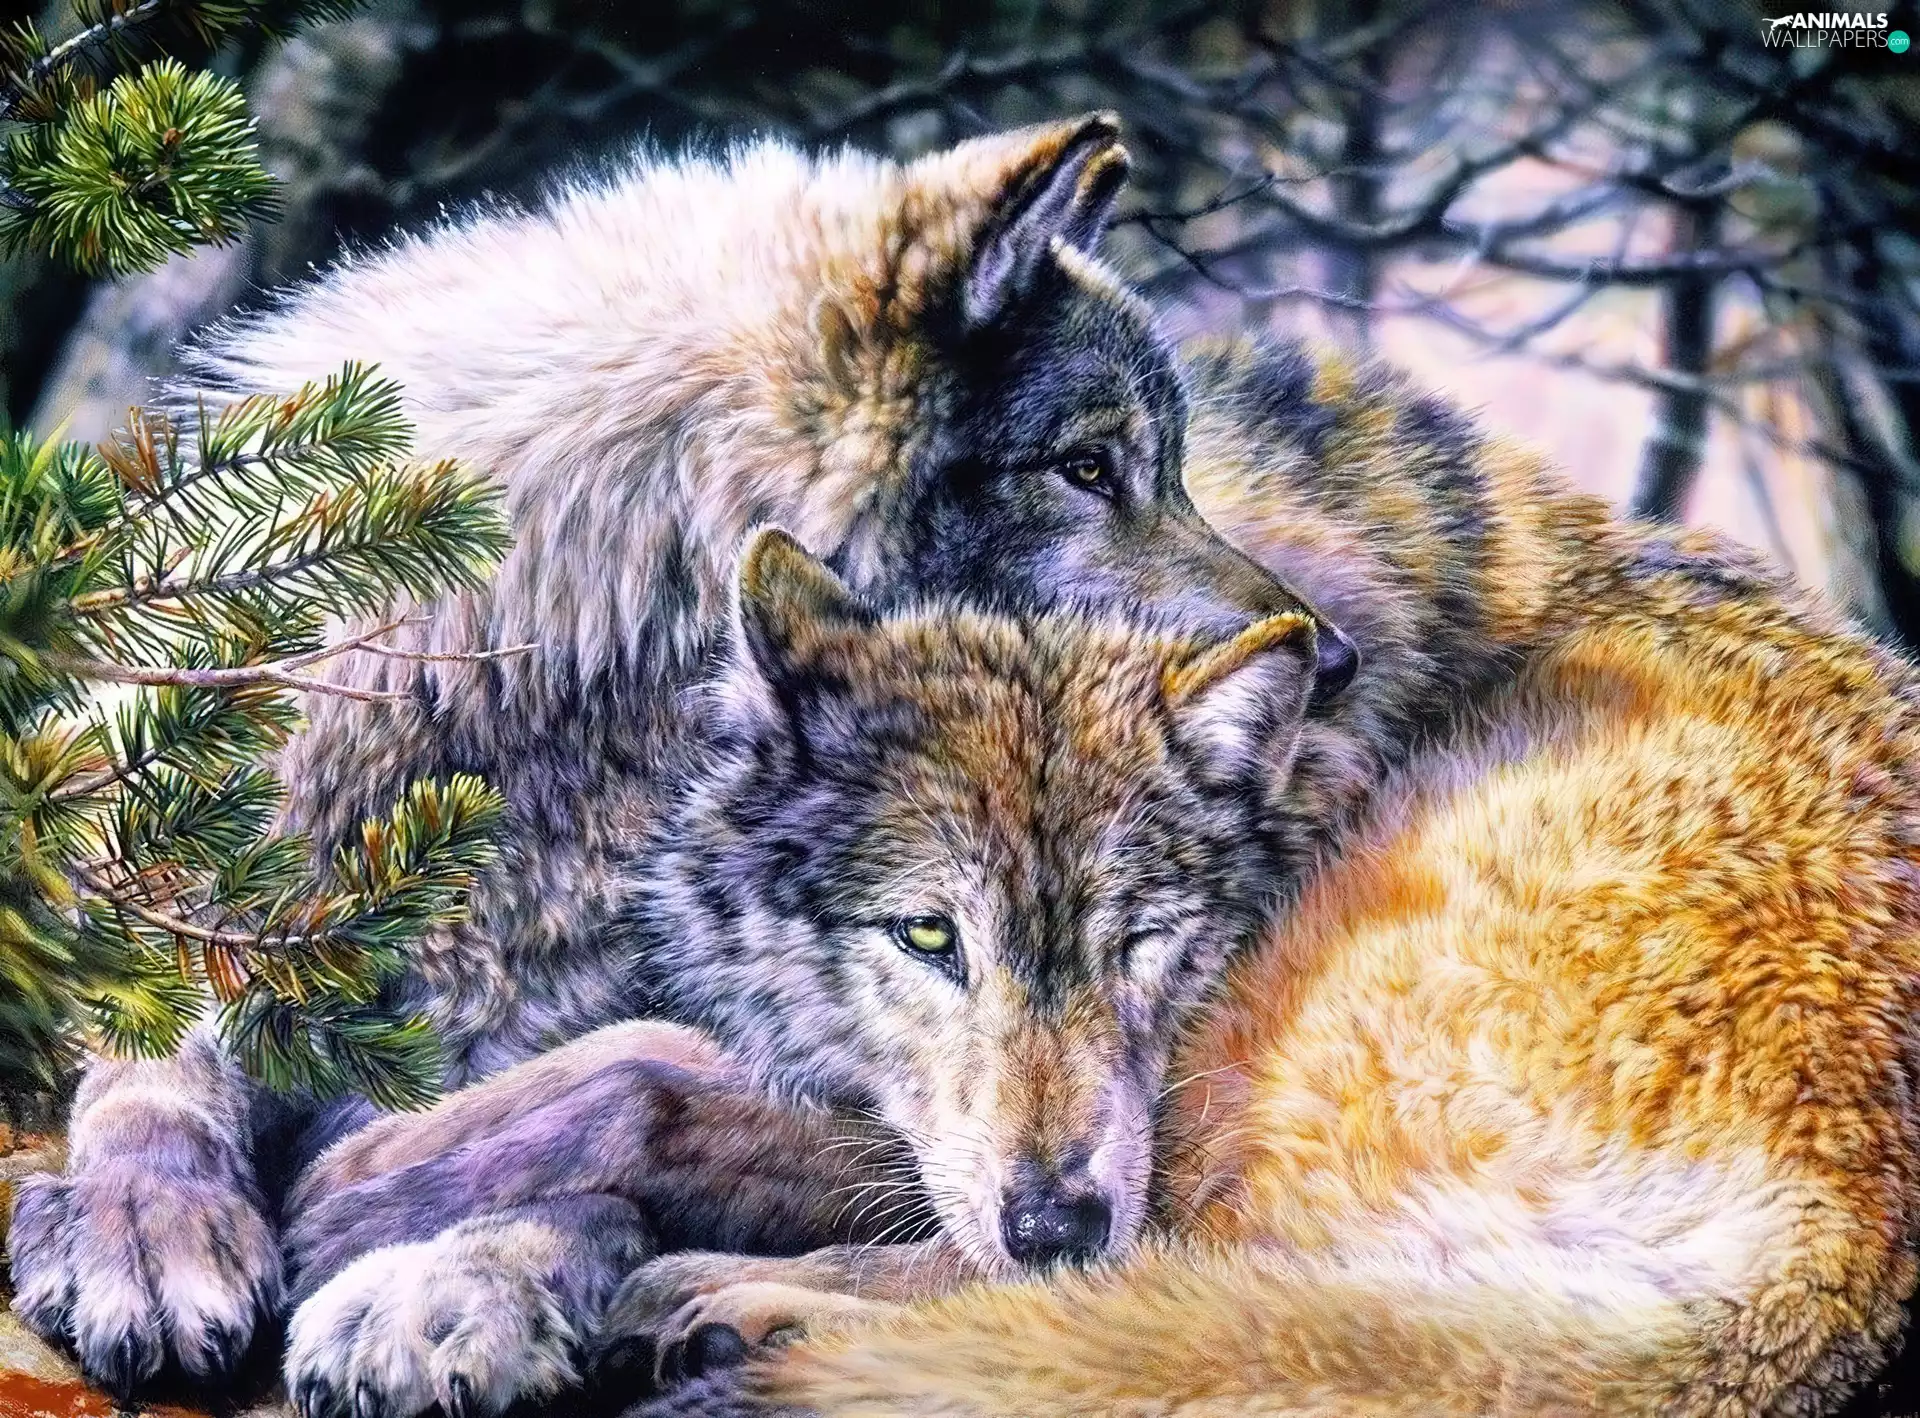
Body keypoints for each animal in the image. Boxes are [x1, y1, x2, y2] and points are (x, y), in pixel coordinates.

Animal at [6, 117, 1360, 1401]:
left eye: (1170, 468)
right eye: (1089, 468)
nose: (1337, 657)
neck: (533, 713)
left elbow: (596, 1138)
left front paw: (437, 1286)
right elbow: (152, 1049)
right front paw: (147, 1227)